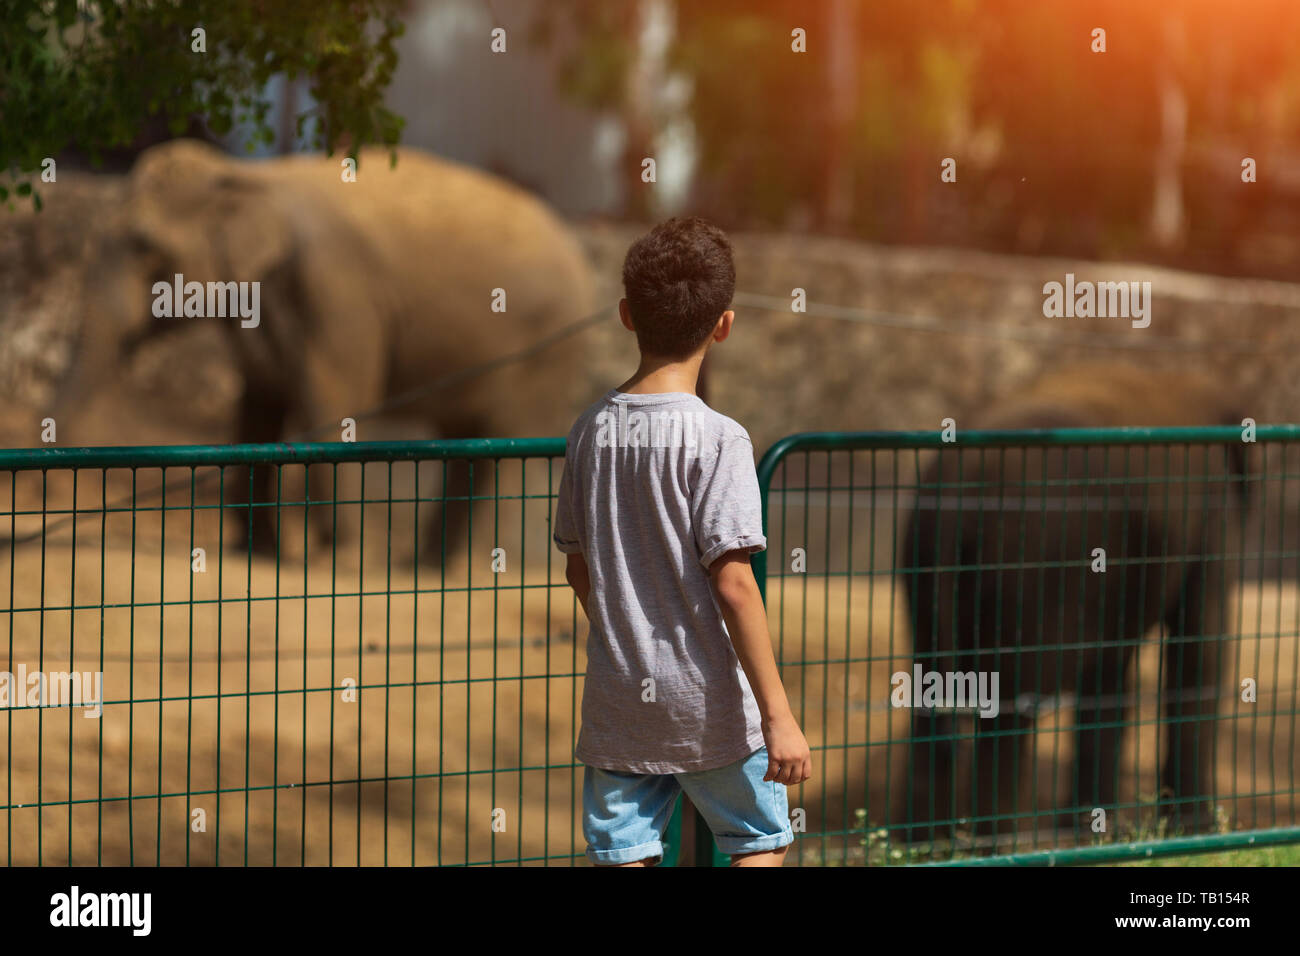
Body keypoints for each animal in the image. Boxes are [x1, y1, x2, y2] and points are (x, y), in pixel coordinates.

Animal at [50, 140, 598, 561]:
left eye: (144, 246)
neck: (243, 175)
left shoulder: (335, 290)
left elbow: (332, 399)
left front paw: (336, 559)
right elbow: (258, 408)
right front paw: (256, 554)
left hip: (547, 350)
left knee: (505, 446)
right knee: (469, 442)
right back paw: (425, 569)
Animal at [894, 364, 1248, 842]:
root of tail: (956, 482)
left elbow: (1110, 679)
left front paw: (1097, 831)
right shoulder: (1210, 515)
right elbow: (1198, 652)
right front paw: (1194, 830)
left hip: (924, 567)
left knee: (931, 703)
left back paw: (920, 846)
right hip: (1029, 569)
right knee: (1008, 711)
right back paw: (998, 843)